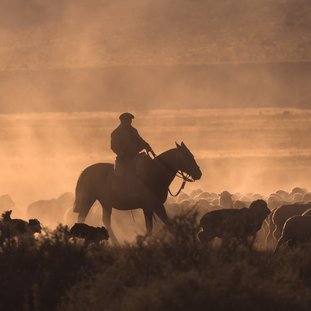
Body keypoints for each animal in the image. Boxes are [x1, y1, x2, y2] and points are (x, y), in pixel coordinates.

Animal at [74, 143, 204, 245]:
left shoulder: (154, 207)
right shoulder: (152, 206)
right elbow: (156, 226)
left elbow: (160, 225)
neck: (155, 174)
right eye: (188, 157)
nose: (199, 174)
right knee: (82, 217)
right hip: (89, 200)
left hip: (106, 203)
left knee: (105, 221)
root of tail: (85, 171)